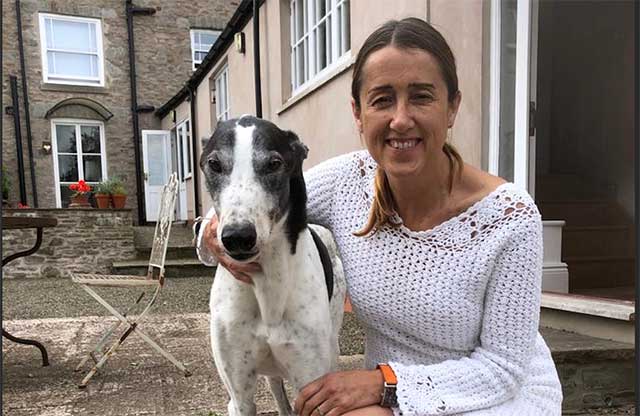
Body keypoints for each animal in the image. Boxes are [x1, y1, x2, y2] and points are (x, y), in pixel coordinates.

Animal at [198, 116, 344, 416]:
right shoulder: (239, 396)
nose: (238, 236)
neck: (266, 285)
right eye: (214, 164)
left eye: (274, 163)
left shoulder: (311, 384)